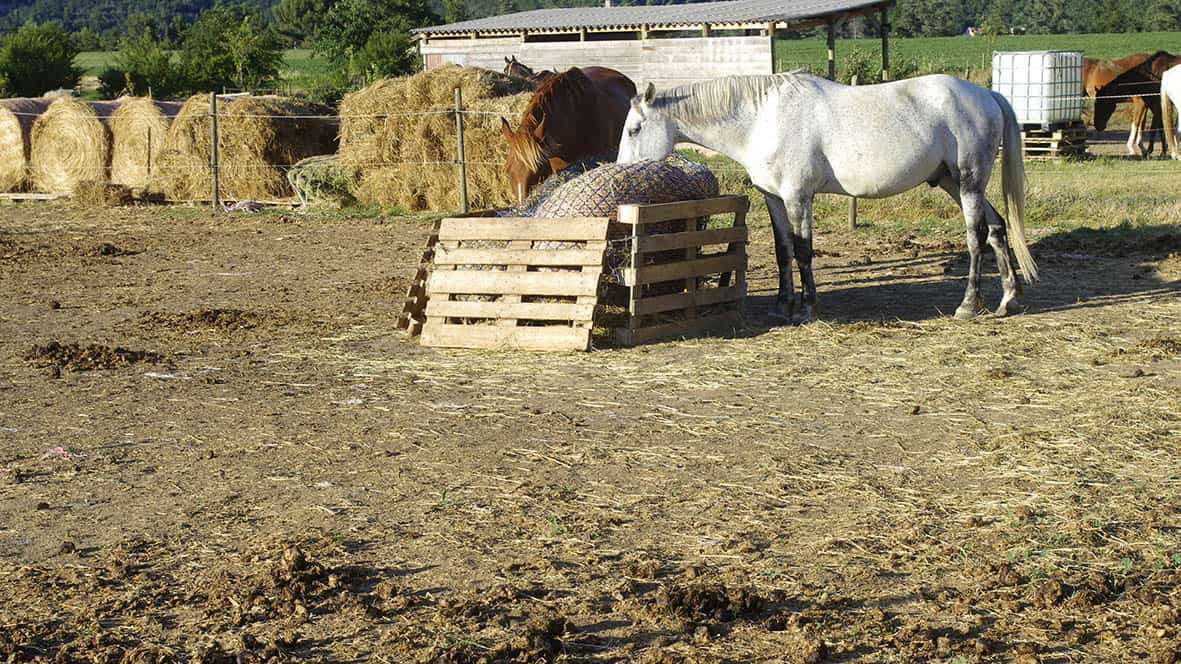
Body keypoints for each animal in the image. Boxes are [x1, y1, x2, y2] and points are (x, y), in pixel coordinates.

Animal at [614, 73, 1039, 321]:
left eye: (635, 129)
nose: (618, 170)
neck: (761, 119)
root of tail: (986, 94)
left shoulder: (798, 196)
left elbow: (803, 251)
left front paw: (806, 307)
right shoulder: (773, 198)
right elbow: (783, 250)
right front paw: (782, 305)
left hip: (968, 184)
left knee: (976, 237)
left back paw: (968, 305)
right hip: (953, 182)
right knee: (997, 228)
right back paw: (1008, 300)